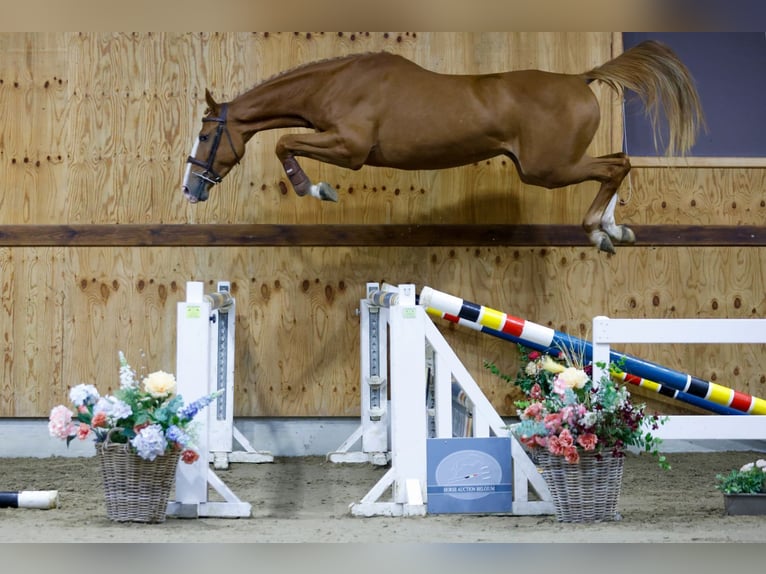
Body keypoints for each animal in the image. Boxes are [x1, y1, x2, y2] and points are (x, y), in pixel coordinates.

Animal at [183, 41, 704, 253]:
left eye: (206, 136)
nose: (191, 189)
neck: (337, 83)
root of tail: (581, 78)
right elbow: (286, 141)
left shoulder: (350, 150)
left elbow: (284, 143)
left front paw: (316, 190)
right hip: (553, 165)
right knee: (619, 161)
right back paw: (616, 230)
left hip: (547, 169)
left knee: (615, 166)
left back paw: (598, 232)